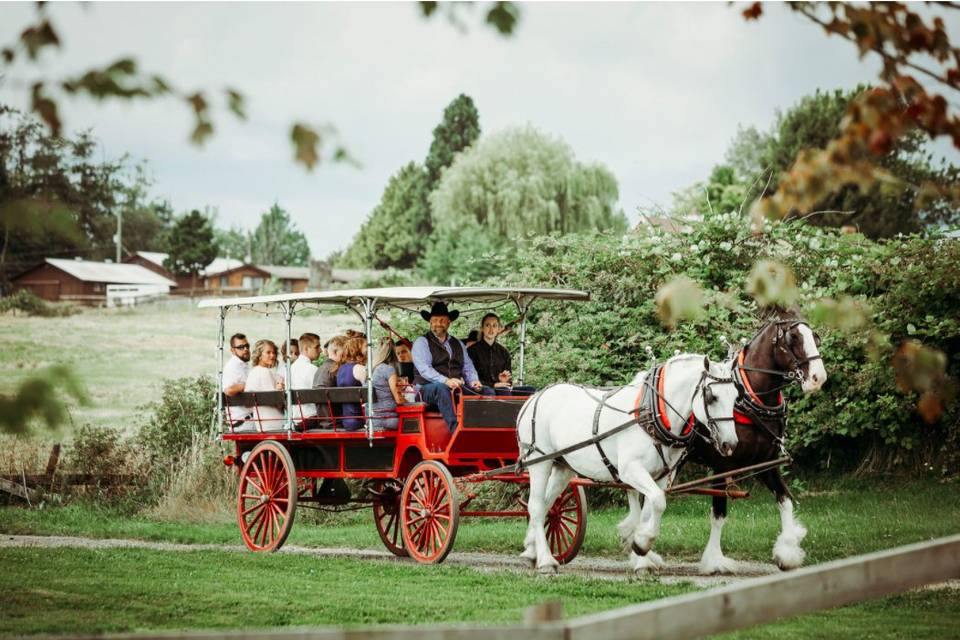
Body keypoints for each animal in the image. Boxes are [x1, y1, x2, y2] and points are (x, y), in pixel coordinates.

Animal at [516, 356, 744, 576]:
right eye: (711, 397)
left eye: (735, 397)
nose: (730, 444)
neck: (651, 414)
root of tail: (534, 397)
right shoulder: (630, 470)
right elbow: (658, 502)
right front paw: (642, 544)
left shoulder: (660, 477)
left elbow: (649, 510)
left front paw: (640, 553)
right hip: (540, 461)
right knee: (535, 506)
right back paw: (546, 560)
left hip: (562, 467)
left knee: (547, 506)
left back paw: (531, 551)